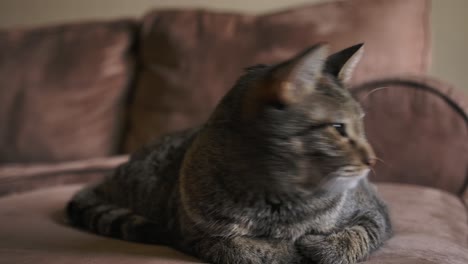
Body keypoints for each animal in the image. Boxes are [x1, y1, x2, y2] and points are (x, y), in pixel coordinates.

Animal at [67, 43, 394, 264]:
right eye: (338, 127)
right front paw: (282, 249)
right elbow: (239, 247)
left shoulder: (374, 212)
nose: (372, 160)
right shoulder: (192, 233)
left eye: (362, 124)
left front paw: (318, 246)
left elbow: (355, 236)